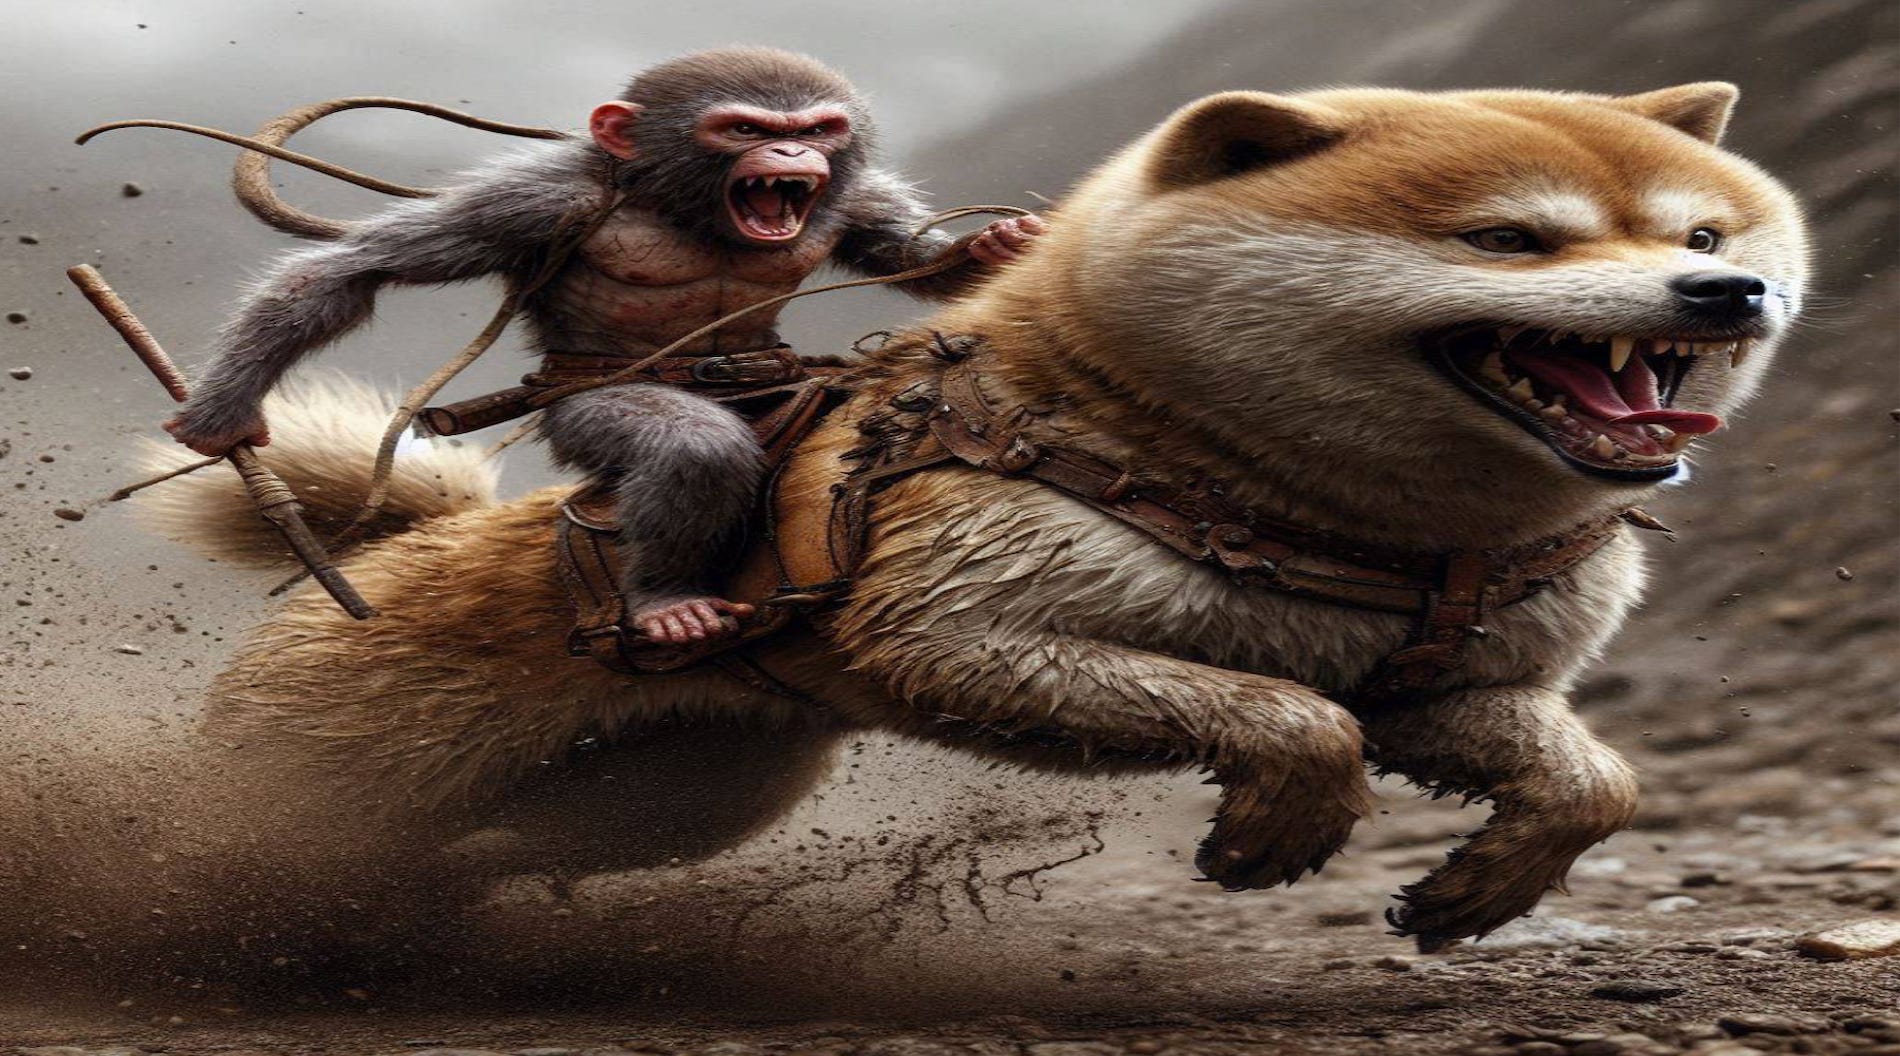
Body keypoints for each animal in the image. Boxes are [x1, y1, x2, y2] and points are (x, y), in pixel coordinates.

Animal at [162, 47, 1046, 645]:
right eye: (746, 128)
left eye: (816, 129)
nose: (795, 154)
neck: (682, 209)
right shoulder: (540, 201)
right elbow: (354, 270)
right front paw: (222, 414)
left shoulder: (852, 194)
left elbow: (898, 251)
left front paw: (998, 244)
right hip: (581, 415)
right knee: (691, 446)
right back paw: (668, 599)